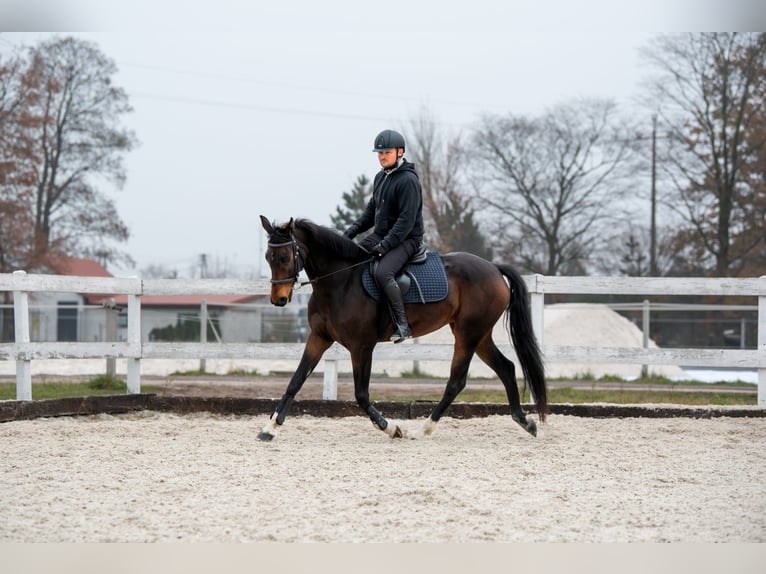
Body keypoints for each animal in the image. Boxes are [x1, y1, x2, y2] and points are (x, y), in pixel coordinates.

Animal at [260, 216, 548, 440]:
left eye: (285, 256)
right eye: (268, 257)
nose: (278, 299)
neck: (340, 282)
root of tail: (493, 268)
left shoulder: (361, 346)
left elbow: (361, 394)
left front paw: (392, 428)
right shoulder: (319, 338)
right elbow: (295, 381)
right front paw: (270, 428)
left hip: (468, 334)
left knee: (457, 381)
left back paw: (424, 429)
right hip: (480, 335)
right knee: (506, 368)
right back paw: (525, 422)